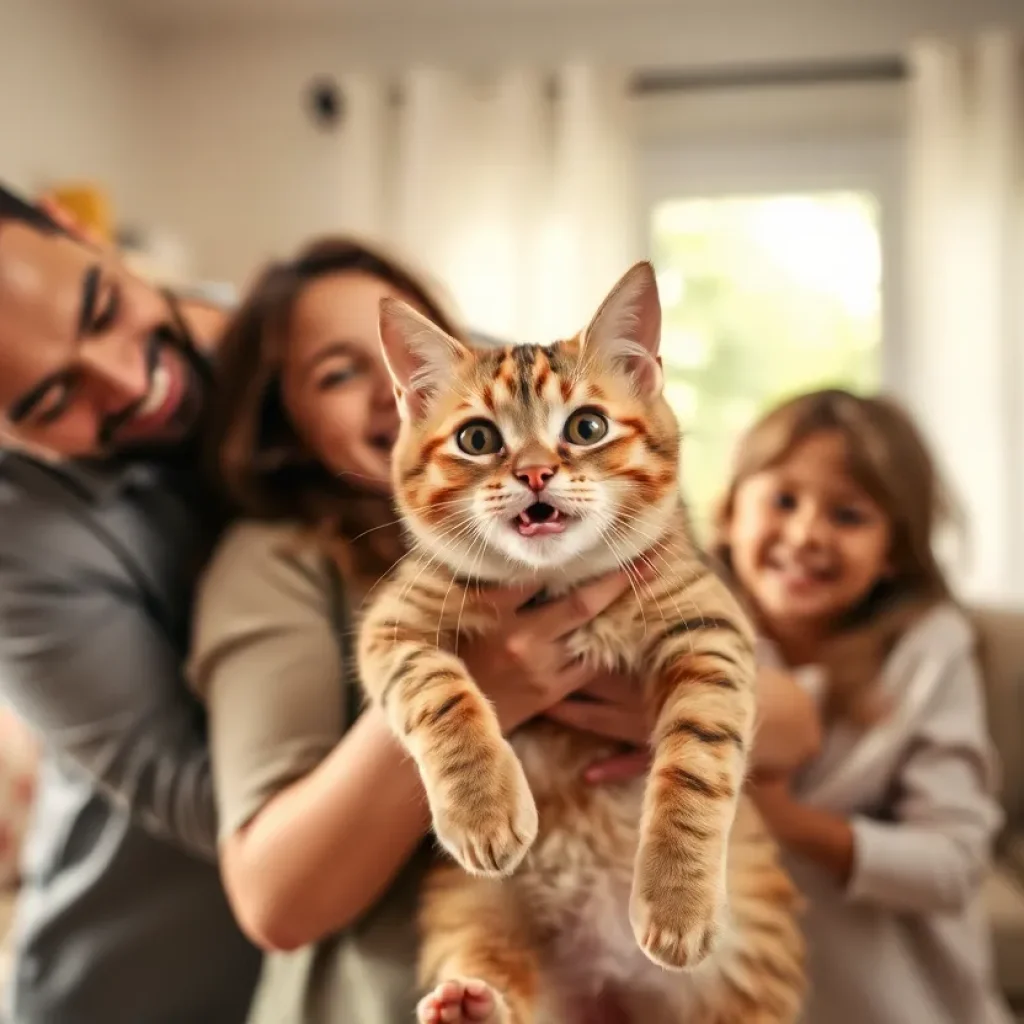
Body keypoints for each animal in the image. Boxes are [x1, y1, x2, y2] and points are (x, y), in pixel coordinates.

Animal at [356, 264, 802, 1024]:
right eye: (478, 439)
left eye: (586, 427)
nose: (536, 473)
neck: (551, 583)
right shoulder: (394, 626)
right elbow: (438, 693)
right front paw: (481, 804)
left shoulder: (710, 631)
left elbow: (694, 766)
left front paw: (677, 896)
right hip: (468, 904)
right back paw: (469, 1004)